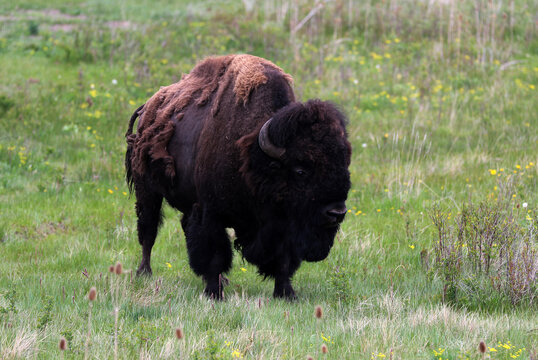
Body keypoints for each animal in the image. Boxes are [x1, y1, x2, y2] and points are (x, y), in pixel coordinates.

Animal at [125, 53, 352, 300]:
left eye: (344, 165)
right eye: (300, 170)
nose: (337, 212)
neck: (252, 156)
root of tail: (147, 109)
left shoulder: (283, 225)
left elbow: (283, 261)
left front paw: (287, 294)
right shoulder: (210, 213)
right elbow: (214, 254)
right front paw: (214, 293)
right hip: (148, 191)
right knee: (148, 231)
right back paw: (144, 273)